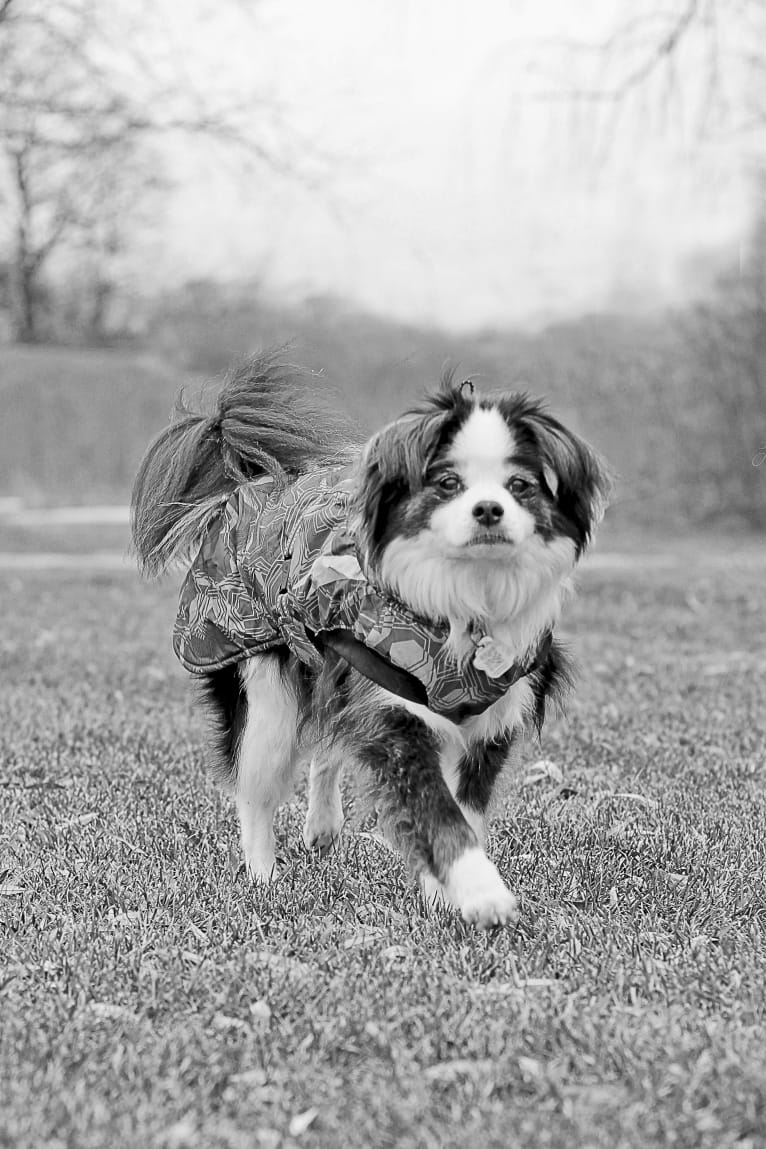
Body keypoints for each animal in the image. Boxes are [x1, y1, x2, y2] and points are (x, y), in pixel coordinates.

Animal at [132, 353, 610, 928]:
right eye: (447, 483)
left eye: (521, 486)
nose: (489, 509)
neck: (469, 595)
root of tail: (251, 481)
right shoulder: (393, 705)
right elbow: (436, 808)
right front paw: (481, 894)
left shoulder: (491, 715)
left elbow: (460, 808)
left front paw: (440, 891)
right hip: (259, 676)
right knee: (257, 786)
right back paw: (264, 877)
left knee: (330, 737)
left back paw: (322, 826)